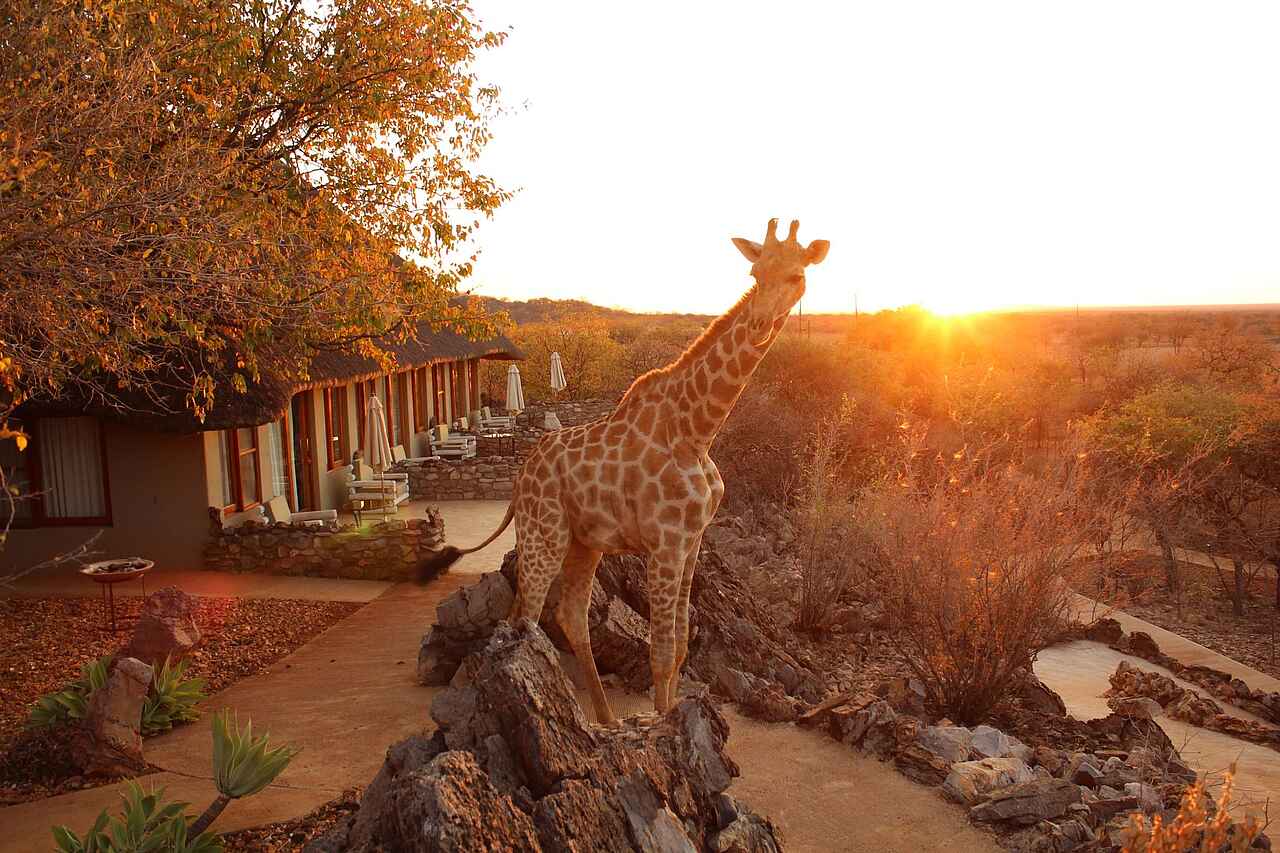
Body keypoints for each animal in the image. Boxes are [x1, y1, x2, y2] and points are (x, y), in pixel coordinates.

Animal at [420, 218, 830, 724]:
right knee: (524, 618)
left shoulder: (692, 541)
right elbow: (662, 650)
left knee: (570, 615)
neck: (697, 431)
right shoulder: (666, 542)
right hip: (543, 535)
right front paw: (662, 722)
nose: (757, 326)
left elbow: (680, 645)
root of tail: (519, 478)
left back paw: (607, 719)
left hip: (584, 543)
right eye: (755, 272)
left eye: (796, 277)